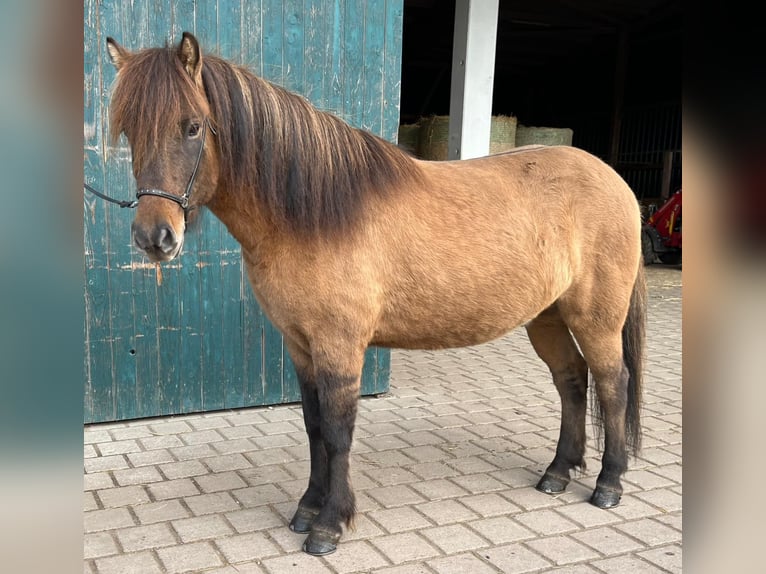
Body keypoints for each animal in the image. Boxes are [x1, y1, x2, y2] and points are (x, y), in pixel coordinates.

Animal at [105, 33, 648, 556]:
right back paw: (558, 471)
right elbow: (314, 426)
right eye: (129, 131)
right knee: (572, 381)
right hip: (548, 317)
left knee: (612, 383)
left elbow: (338, 431)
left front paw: (328, 525)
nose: (154, 237)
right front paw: (308, 507)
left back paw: (609, 483)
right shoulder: (301, 346)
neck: (314, 214)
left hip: (596, 318)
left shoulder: (340, 346)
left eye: (193, 127)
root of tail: (614, 179)